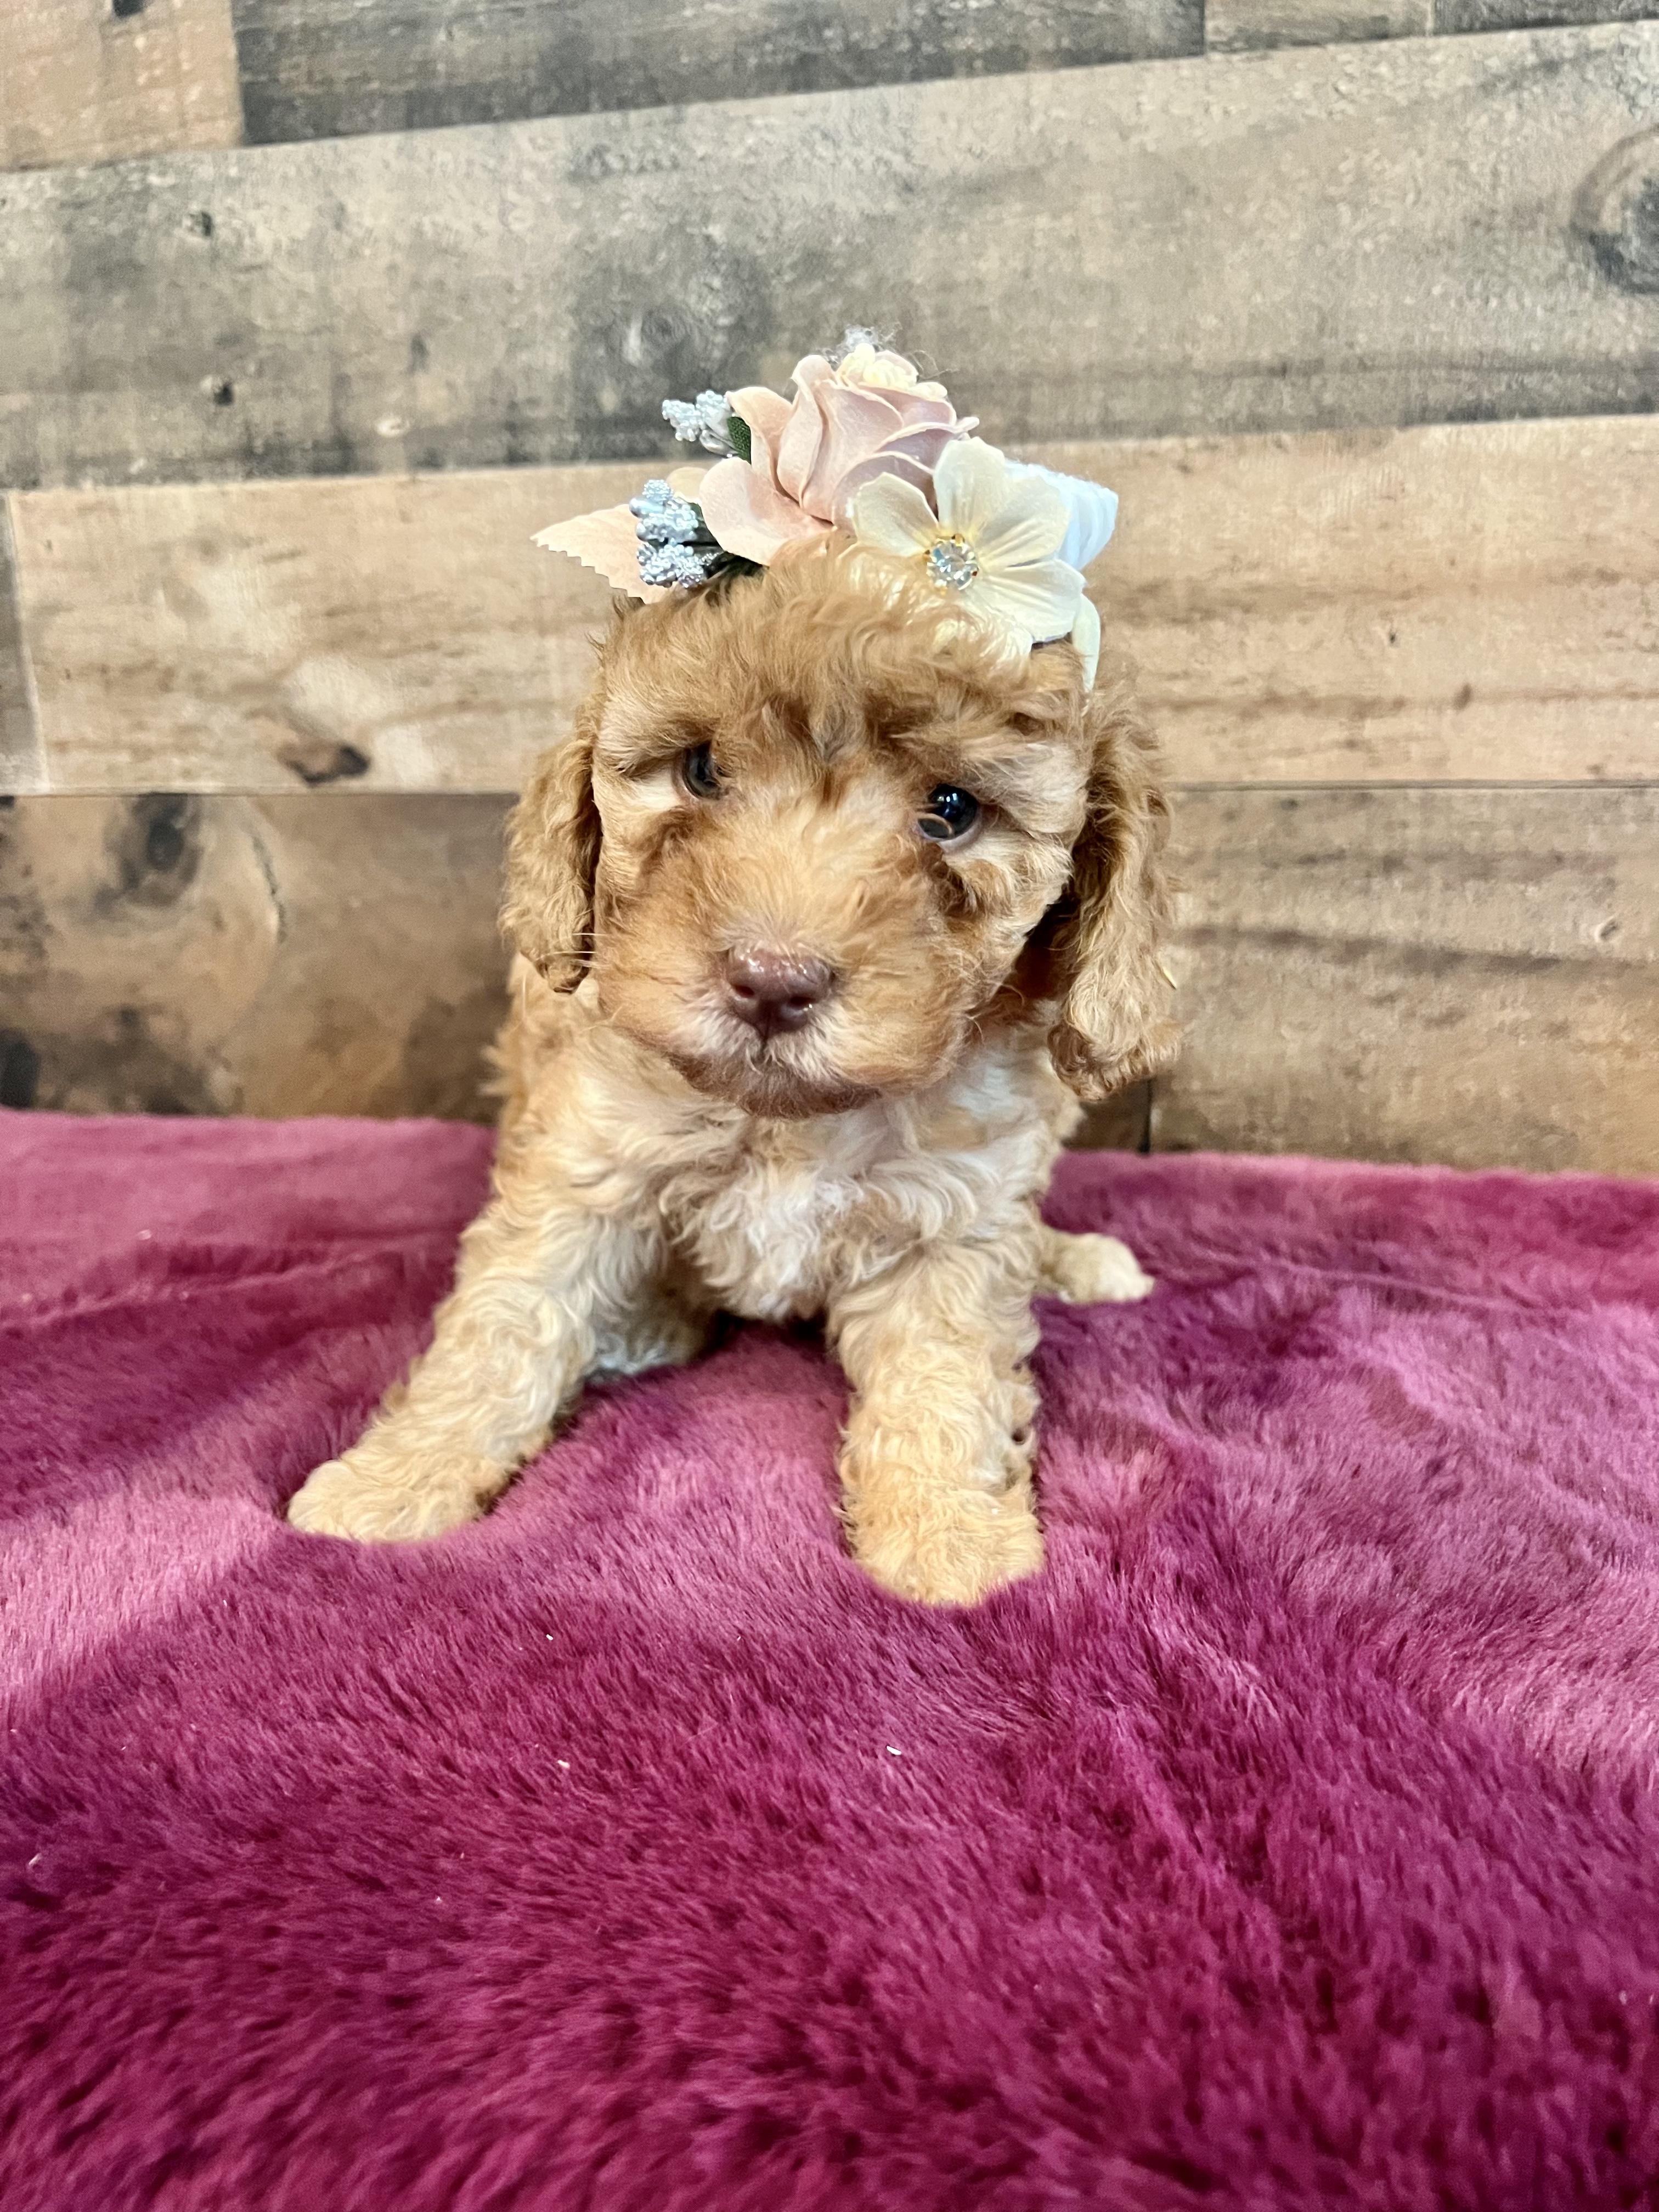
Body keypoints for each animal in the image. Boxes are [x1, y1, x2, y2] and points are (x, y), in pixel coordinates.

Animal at [287, 549, 1177, 1604]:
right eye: (702, 769)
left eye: (952, 810)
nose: (772, 980)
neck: (786, 1116)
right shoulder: (582, 1163)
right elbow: (501, 1326)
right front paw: (396, 1478)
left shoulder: (953, 1218)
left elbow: (944, 1380)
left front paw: (947, 1537)